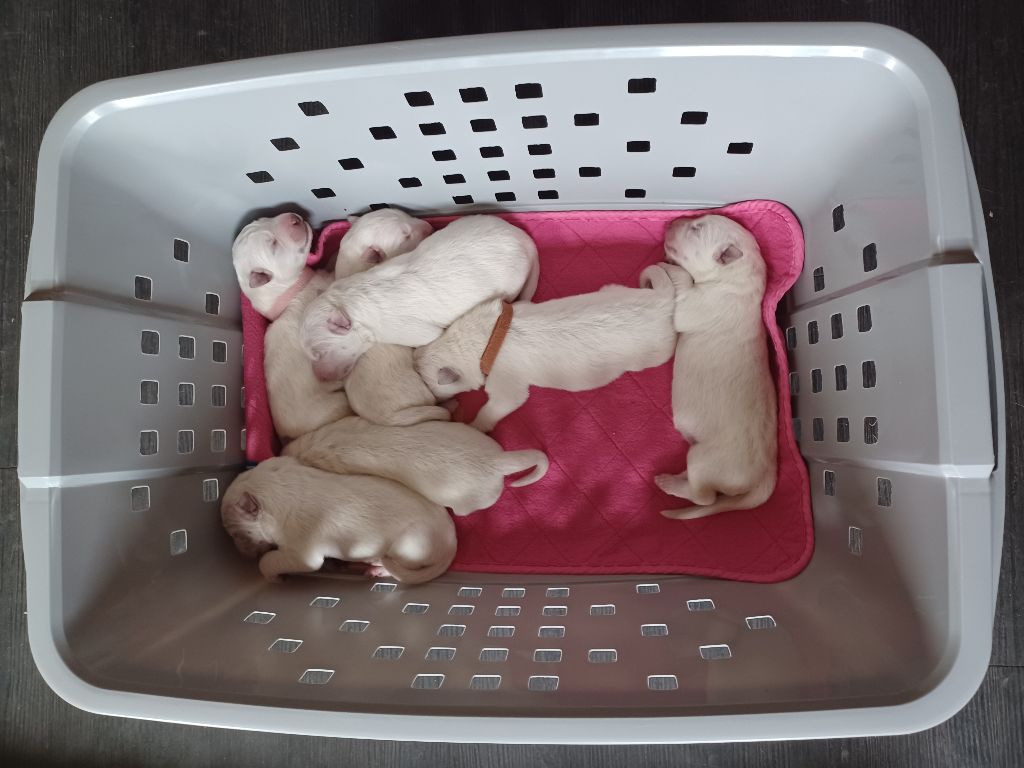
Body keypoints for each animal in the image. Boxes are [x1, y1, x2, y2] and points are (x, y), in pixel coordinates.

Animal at [221, 456, 456, 581]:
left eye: (236, 535)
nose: (242, 556)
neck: (281, 491)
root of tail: (452, 544)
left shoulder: (302, 553)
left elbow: (269, 562)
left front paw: (274, 575)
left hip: (409, 545)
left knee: (399, 568)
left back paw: (377, 567)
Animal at [299, 215, 540, 382]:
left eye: (319, 353)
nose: (321, 379)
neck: (348, 298)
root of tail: (524, 238)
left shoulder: (411, 332)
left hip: (512, 283)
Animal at [411, 274, 675, 434]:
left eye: (429, 385)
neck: (484, 339)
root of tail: (664, 302)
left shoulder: (505, 387)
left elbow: (495, 407)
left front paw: (475, 426)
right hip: (613, 290)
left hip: (655, 353)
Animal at [647, 214, 774, 520]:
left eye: (696, 229)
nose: (669, 222)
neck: (738, 278)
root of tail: (765, 476)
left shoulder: (696, 303)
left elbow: (682, 286)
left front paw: (669, 265)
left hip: (704, 459)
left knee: (705, 498)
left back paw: (668, 484)